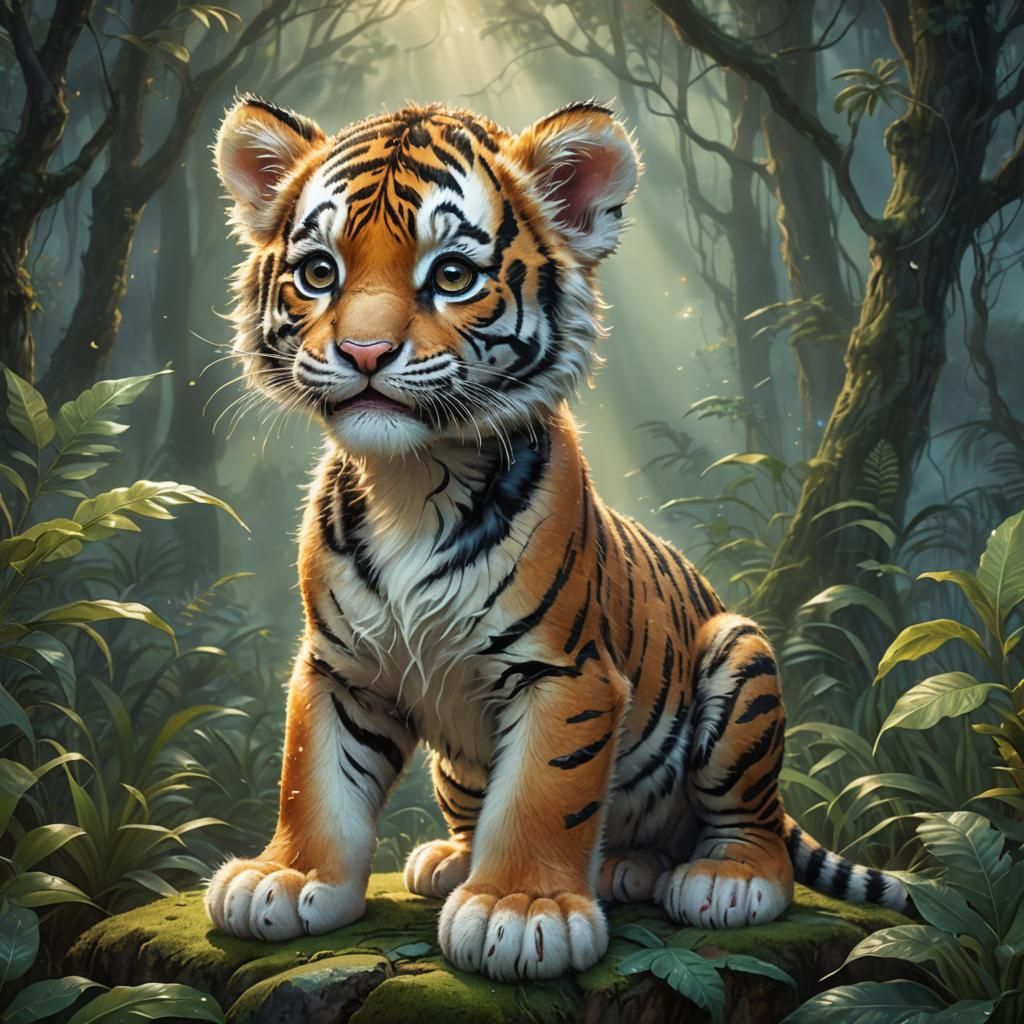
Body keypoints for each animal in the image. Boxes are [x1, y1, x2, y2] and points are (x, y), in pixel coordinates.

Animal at [203, 95, 909, 980]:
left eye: (452, 276)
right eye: (319, 272)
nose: (364, 353)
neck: (412, 480)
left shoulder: (565, 673)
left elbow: (545, 793)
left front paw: (521, 910)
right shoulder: (339, 669)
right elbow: (313, 779)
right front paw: (288, 880)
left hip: (741, 659)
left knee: (752, 824)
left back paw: (720, 878)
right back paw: (475, 860)